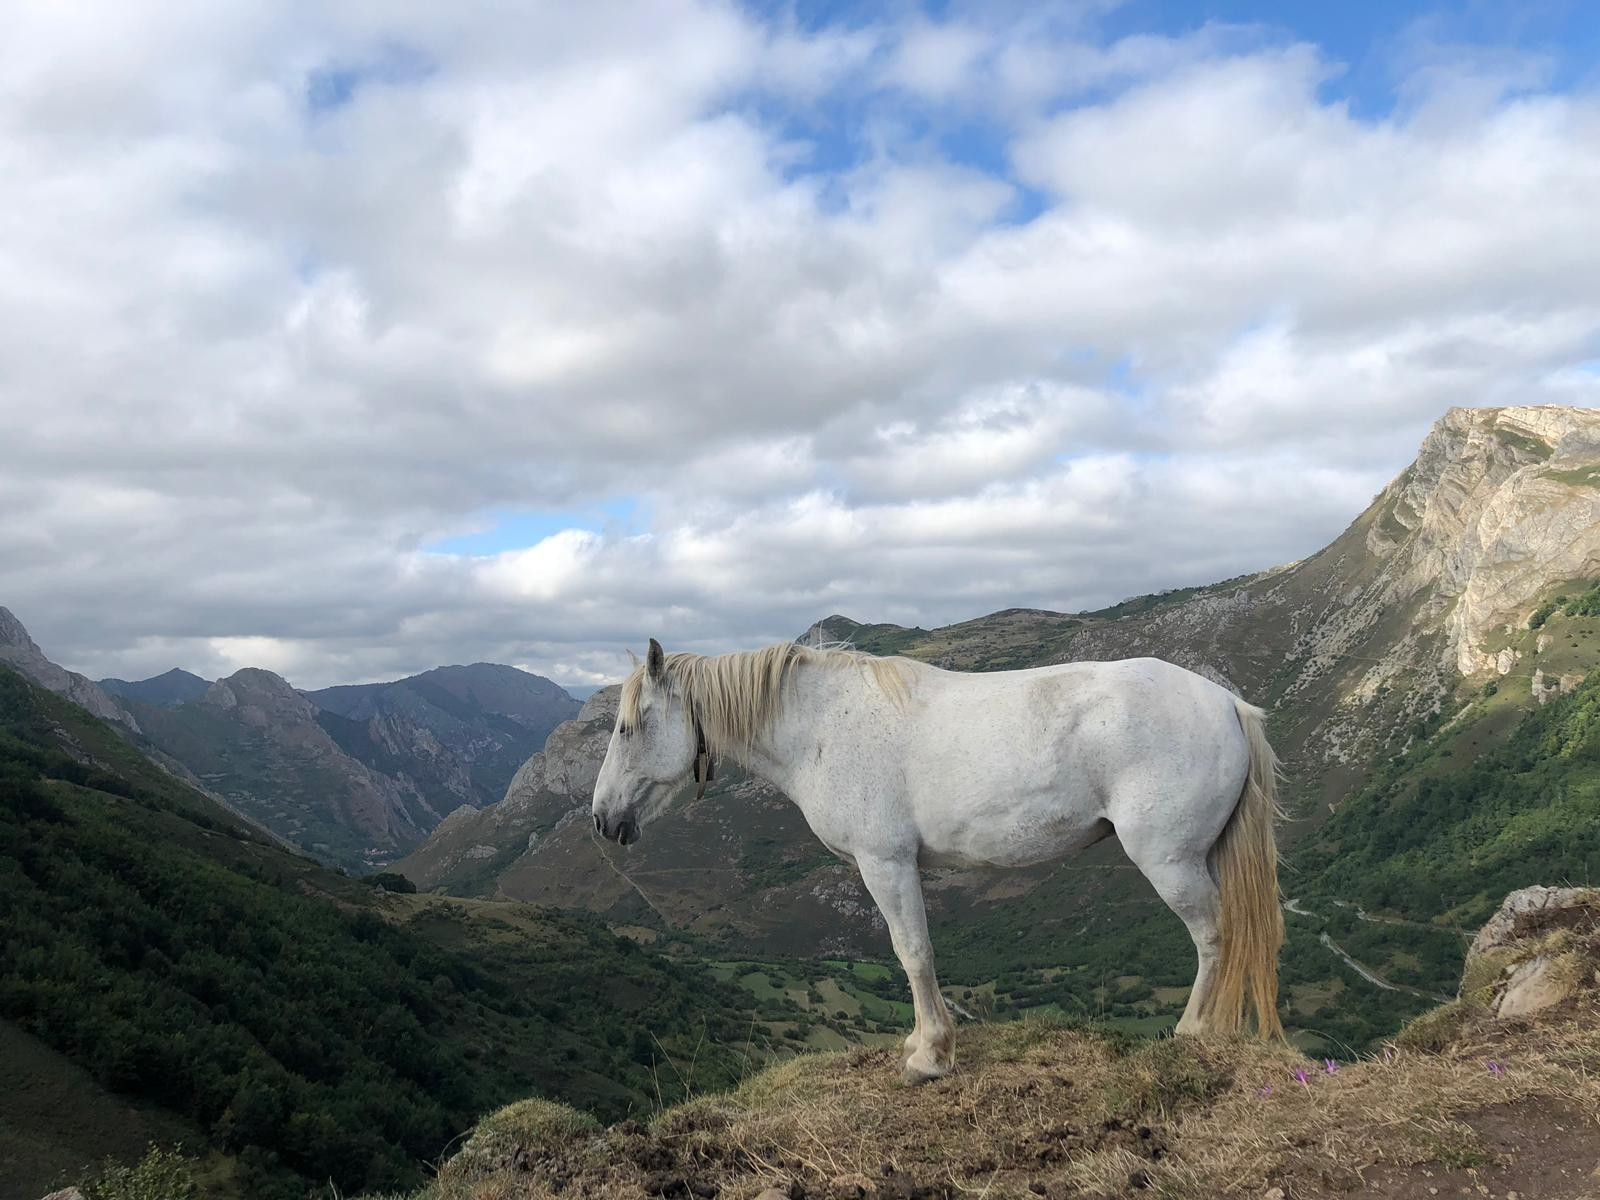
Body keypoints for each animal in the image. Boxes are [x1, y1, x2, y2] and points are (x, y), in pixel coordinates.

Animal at [595, 643, 1280, 1088]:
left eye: (629, 727)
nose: (603, 820)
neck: (821, 727)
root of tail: (1228, 704)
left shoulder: (886, 863)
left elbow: (913, 953)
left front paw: (930, 1055)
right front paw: (924, 1043)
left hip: (1170, 861)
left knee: (1215, 937)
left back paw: (1194, 1032)